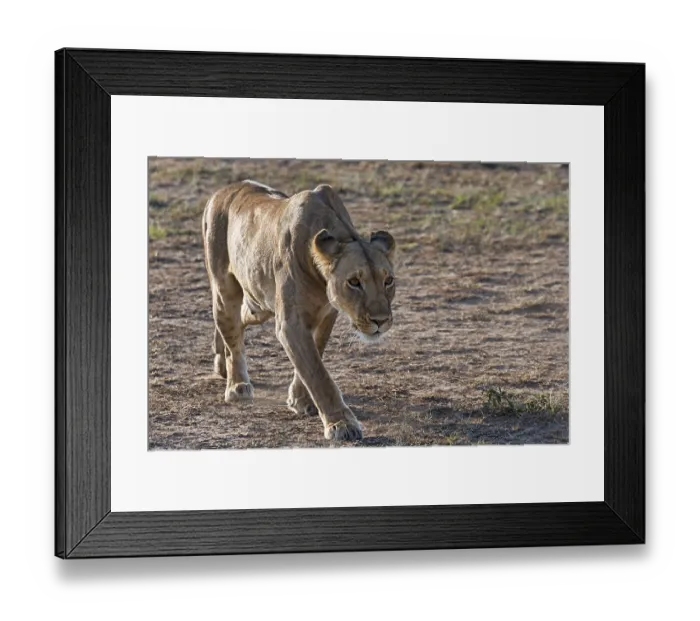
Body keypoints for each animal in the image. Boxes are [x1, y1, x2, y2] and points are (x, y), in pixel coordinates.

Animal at [202, 180, 396, 441]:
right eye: (354, 282)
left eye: (388, 281)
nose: (380, 321)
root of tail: (222, 191)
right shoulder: (290, 324)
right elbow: (318, 373)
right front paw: (341, 424)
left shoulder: (326, 314)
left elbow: (315, 356)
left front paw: (300, 400)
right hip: (225, 288)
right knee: (232, 336)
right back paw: (236, 386)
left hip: (258, 303)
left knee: (238, 320)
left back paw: (220, 362)